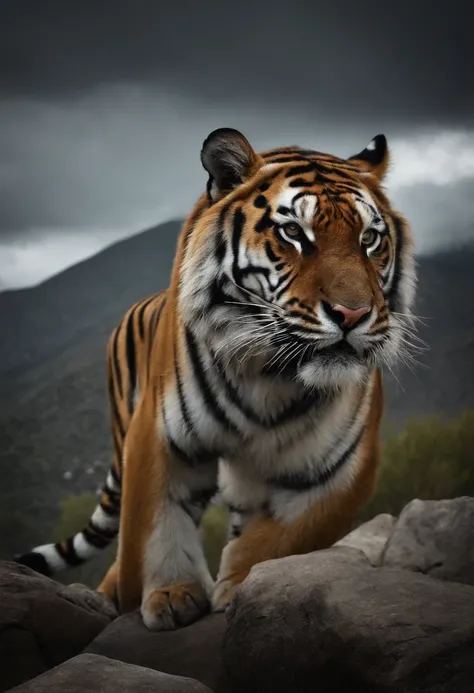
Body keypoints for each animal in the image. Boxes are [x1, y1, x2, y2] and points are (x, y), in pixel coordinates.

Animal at [15, 127, 414, 628]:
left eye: (370, 239)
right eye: (293, 233)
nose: (353, 315)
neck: (273, 375)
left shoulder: (341, 470)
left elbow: (285, 536)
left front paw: (242, 584)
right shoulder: (157, 436)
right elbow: (153, 528)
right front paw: (170, 594)